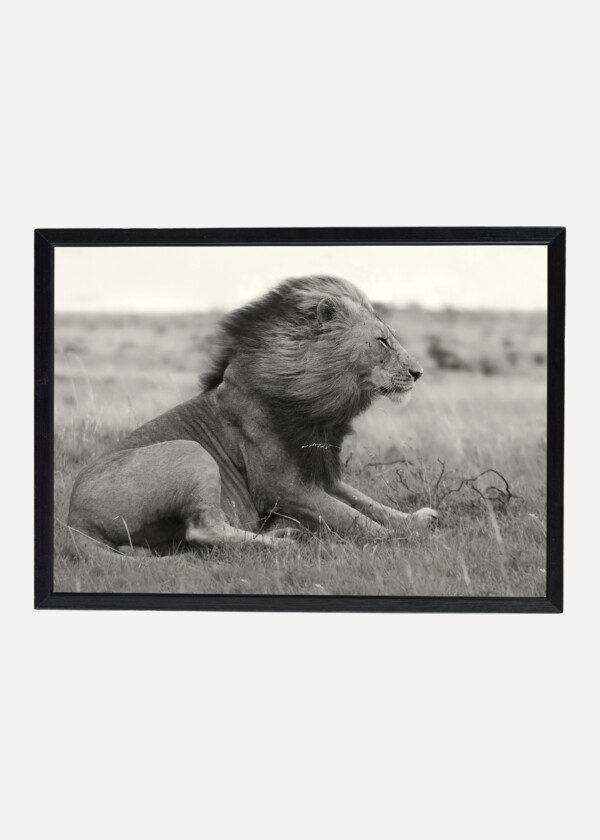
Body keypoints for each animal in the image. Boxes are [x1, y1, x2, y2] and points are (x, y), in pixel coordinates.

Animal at [67, 276, 437, 557]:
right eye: (383, 341)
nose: (418, 373)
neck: (315, 402)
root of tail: (74, 521)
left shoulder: (317, 469)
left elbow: (365, 501)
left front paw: (415, 520)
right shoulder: (280, 486)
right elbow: (350, 516)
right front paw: (402, 539)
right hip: (191, 450)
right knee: (203, 530)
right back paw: (283, 543)